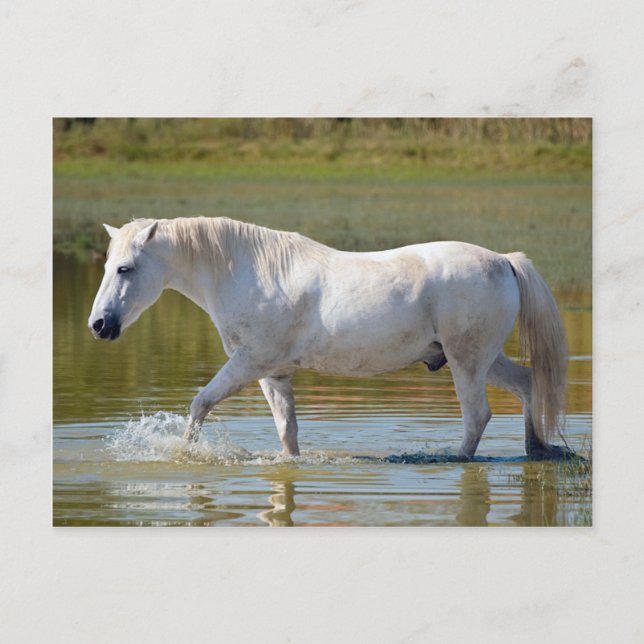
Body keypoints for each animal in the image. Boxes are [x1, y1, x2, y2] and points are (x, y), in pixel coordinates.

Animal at [88, 216, 569, 460]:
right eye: (107, 265)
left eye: (125, 268)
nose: (99, 326)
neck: (249, 272)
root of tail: (504, 261)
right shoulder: (274, 375)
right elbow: (288, 434)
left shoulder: (249, 363)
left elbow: (199, 404)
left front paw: (185, 456)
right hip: (482, 359)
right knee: (528, 385)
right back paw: (537, 450)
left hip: (467, 363)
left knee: (477, 417)